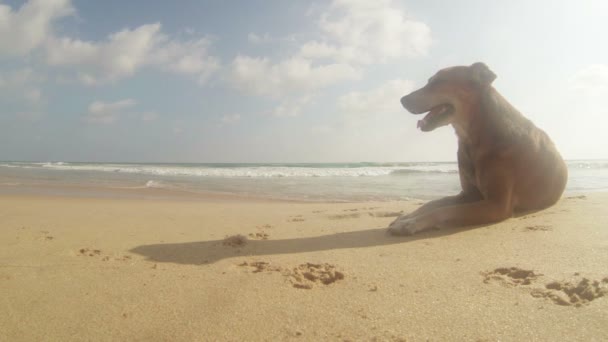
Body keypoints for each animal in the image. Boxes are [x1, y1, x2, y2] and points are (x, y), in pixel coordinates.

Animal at [390, 62, 568, 235]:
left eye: (439, 81)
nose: (402, 100)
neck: (473, 137)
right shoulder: (468, 194)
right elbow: (435, 202)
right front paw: (406, 217)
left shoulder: (497, 205)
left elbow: (446, 210)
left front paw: (411, 223)